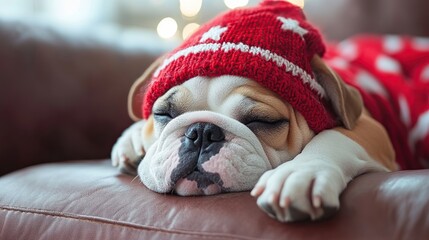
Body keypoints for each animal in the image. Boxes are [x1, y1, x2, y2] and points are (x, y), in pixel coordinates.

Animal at [110, 0, 398, 221]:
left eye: (264, 121)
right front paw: (133, 139)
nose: (201, 131)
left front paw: (300, 174)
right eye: (164, 114)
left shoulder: (370, 127)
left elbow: (335, 137)